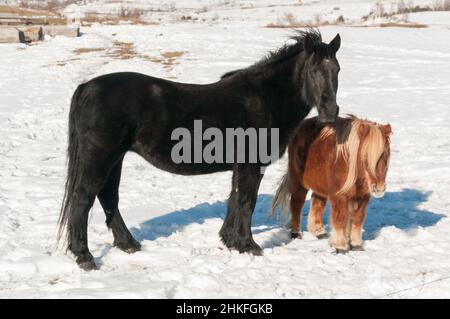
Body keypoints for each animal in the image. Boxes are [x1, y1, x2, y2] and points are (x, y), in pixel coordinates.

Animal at [270, 116, 390, 254]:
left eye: (387, 154)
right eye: (365, 155)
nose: (379, 188)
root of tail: (302, 125)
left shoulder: (362, 197)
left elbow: (357, 219)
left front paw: (356, 244)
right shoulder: (339, 196)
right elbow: (340, 219)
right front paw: (340, 246)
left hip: (319, 185)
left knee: (317, 203)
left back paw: (319, 232)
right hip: (298, 182)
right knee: (296, 204)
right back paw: (296, 233)